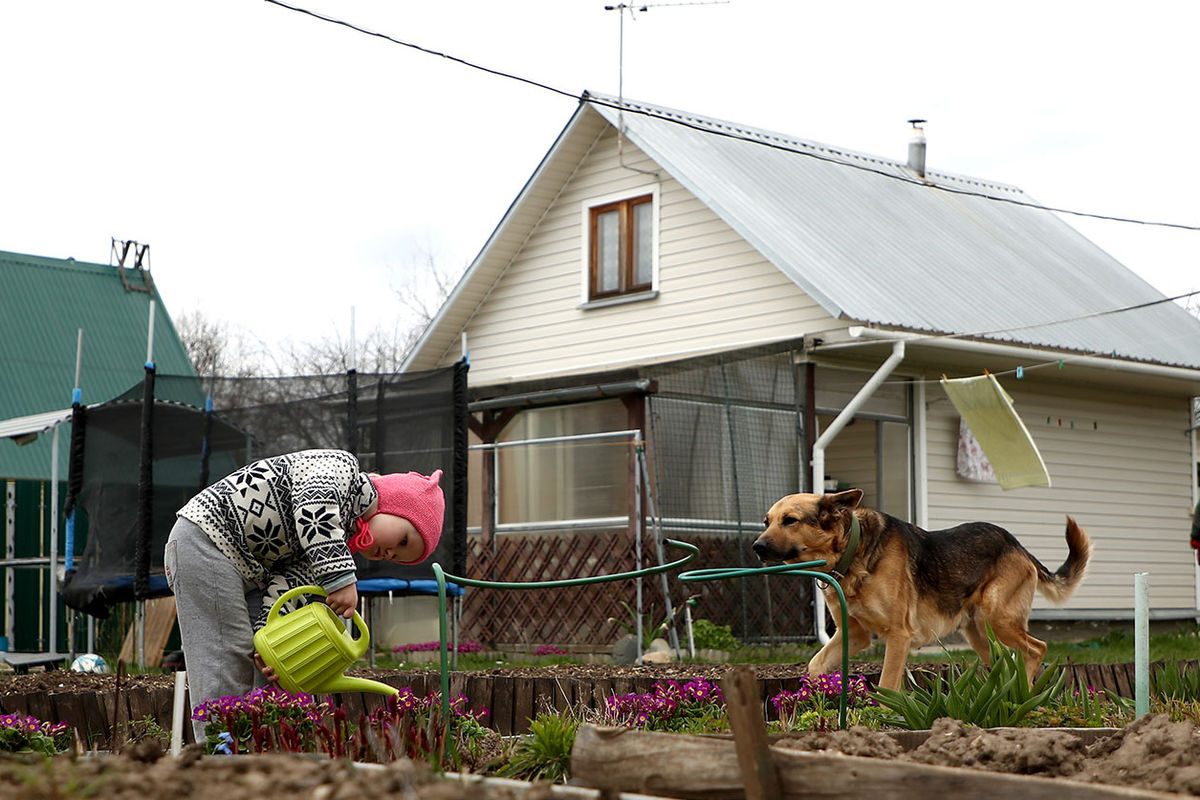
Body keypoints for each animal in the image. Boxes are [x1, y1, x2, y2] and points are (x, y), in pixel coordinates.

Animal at [753, 491, 1094, 690]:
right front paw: (812, 701)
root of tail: (1017, 545)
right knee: (1006, 660)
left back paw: (1024, 690)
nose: (756, 547)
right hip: (980, 634)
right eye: (767, 521)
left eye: (790, 521)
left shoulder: (898, 636)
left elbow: (887, 685)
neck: (853, 551)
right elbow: (815, 664)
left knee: (1036, 648)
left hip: (997, 619)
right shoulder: (854, 635)